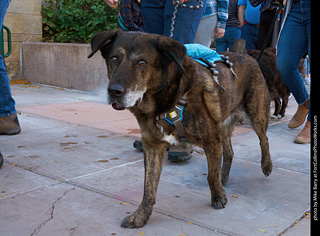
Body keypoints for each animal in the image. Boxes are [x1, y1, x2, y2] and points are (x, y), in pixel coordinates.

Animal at [88, 30, 272, 229]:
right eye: (114, 58)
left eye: (142, 62)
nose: (114, 91)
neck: (167, 99)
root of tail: (244, 55)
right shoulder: (153, 146)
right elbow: (148, 187)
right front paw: (141, 216)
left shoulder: (211, 140)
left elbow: (211, 175)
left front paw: (218, 197)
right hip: (223, 125)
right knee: (229, 152)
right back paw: (224, 177)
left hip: (256, 115)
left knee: (264, 140)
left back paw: (266, 165)